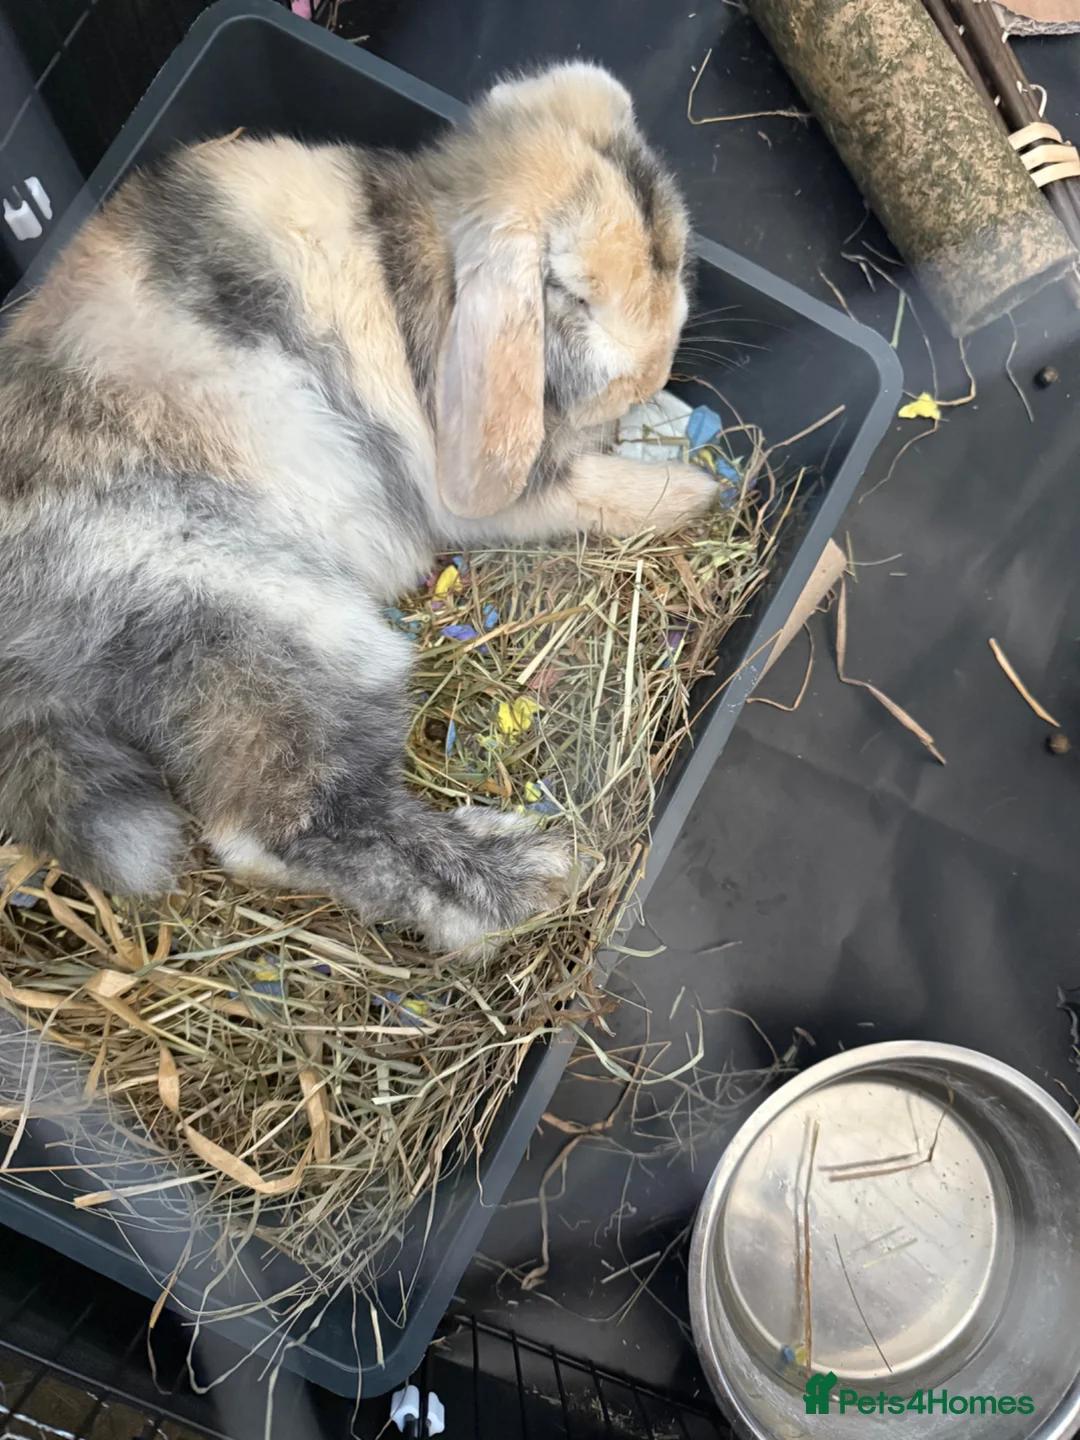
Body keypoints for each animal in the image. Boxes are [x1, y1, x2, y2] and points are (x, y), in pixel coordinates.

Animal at [0, 61, 719, 954]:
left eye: (675, 257)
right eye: (570, 294)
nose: (654, 371)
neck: (418, 254)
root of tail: (25, 661)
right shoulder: (486, 497)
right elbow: (589, 490)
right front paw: (697, 490)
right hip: (286, 624)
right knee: (290, 823)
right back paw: (532, 872)